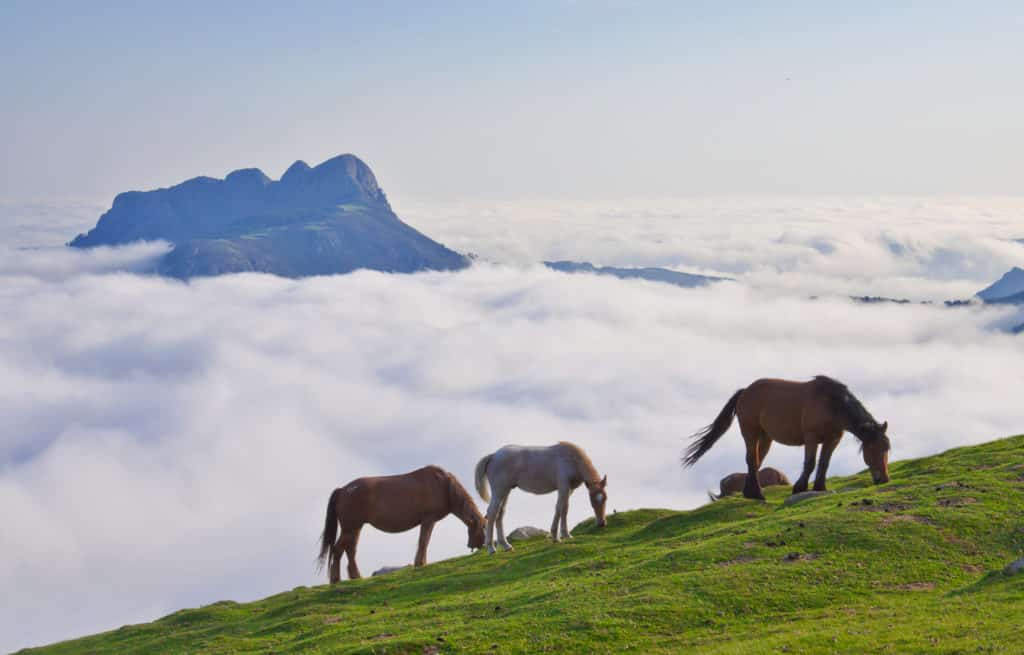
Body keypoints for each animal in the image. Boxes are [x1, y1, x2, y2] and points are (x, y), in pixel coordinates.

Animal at [313, 462, 485, 581]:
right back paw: (337, 579)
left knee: (349, 551)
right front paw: (420, 563)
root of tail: (343, 490)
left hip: (355, 528)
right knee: (338, 550)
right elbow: (424, 541)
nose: (477, 546)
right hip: (351, 528)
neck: (443, 486)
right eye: (483, 528)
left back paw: (354, 577)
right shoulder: (428, 520)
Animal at [473, 440, 606, 552]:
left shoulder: (569, 490)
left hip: (506, 491)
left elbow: (564, 509)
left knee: (500, 513)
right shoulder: (563, 488)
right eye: (592, 501)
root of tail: (494, 455)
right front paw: (556, 537)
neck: (571, 459)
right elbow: (560, 508)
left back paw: (506, 545)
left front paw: (565, 534)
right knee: (492, 512)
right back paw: (491, 548)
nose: (601, 523)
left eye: (605, 498)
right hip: (499, 491)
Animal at [684, 376, 892, 499]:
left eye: (887, 449)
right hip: (751, 433)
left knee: (756, 462)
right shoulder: (811, 438)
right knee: (752, 460)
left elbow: (824, 463)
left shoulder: (832, 440)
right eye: (874, 448)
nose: (883, 479)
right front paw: (799, 488)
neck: (832, 404)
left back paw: (751, 493)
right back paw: (757, 495)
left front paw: (820, 487)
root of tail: (745, 391)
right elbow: (810, 463)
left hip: (765, 437)